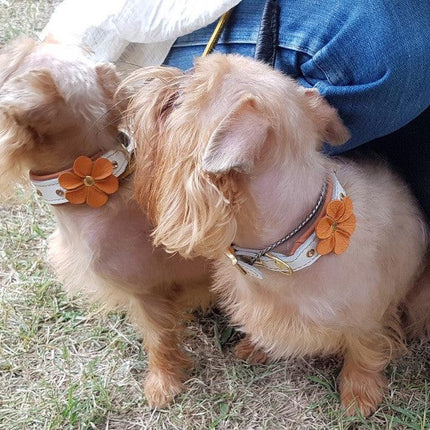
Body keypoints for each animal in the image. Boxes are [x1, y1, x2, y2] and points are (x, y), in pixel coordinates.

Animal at [124, 53, 430, 416]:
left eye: (175, 102)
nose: (154, 78)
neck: (293, 249)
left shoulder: (370, 317)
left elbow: (365, 349)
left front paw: (360, 390)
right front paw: (258, 346)